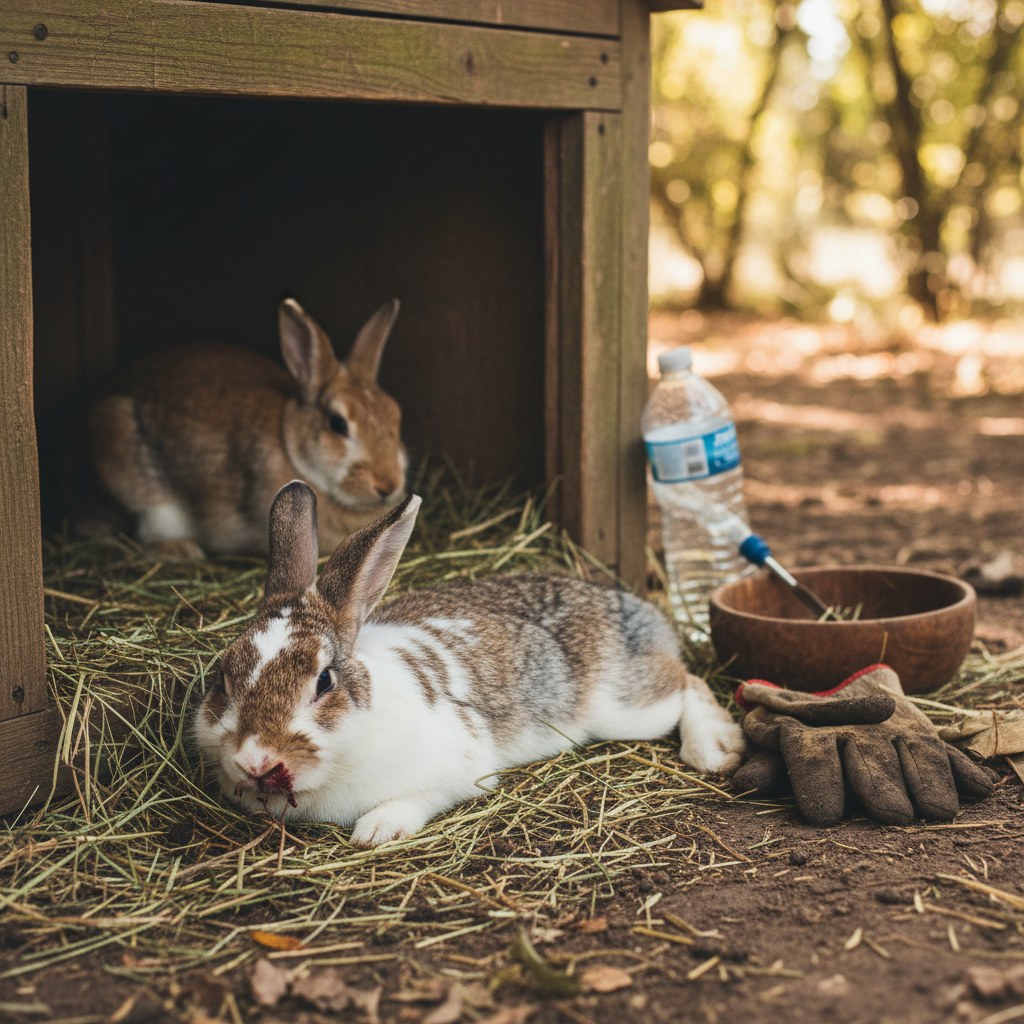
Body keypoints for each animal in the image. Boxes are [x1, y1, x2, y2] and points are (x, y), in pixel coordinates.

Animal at [74, 298, 407, 558]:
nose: (388, 485)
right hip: (129, 468)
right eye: (338, 424)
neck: (291, 447)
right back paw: (182, 550)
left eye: (396, 415)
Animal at [192, 480, 745, 847]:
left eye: (324, 681)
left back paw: (715, 748)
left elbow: (421, 796)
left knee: (686, 681)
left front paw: (376, 830)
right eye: (221, 679)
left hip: (626, 709)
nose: (258, 760)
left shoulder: (460, 767)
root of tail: (632, 606)